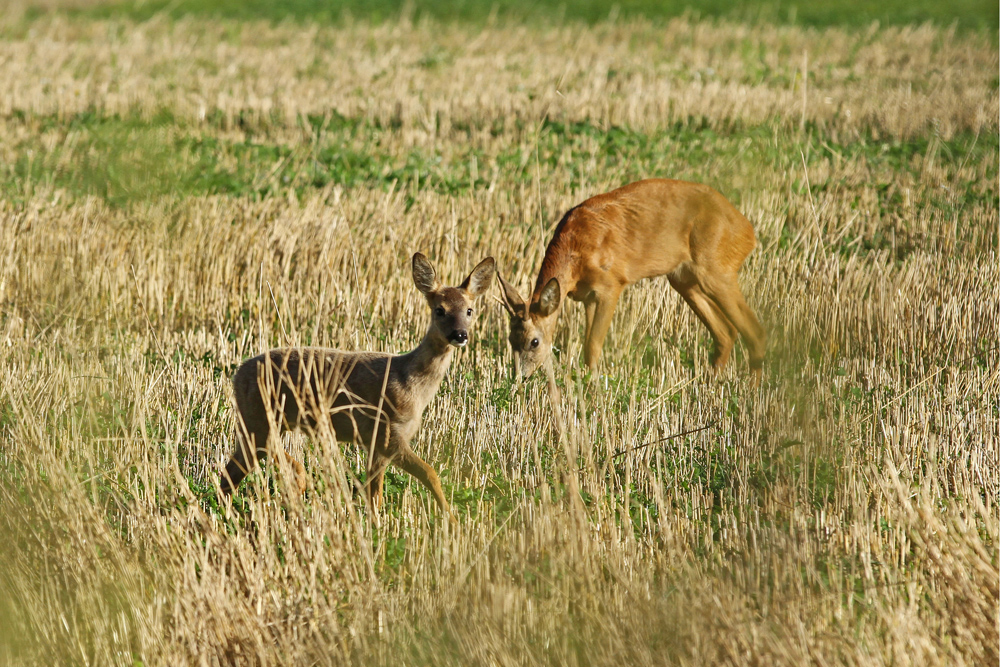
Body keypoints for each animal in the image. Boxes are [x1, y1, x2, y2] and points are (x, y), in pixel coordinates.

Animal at [222, 253, 496, 520]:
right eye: (440, 310)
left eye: (469, 310)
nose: (459, 335)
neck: (410, 382)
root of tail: (237, 375)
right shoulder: (388, 432)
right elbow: (429, 473)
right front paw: (452, 520)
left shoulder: (378, 443)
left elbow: (374, 493)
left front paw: (376, 525)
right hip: (260, 419)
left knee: (231, 471)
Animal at [498, 177, 764, 384]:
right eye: (510, 339)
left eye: (534, 342)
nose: (519, 377)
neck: (575, 248)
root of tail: (748, 233)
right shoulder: (588, 296)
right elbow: (587, 345)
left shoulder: (611, 285)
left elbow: (592, 346)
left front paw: (594, 391)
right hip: (683, 278)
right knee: (726, 332)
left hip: (716, 270)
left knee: (754, 330)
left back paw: (753, 393)